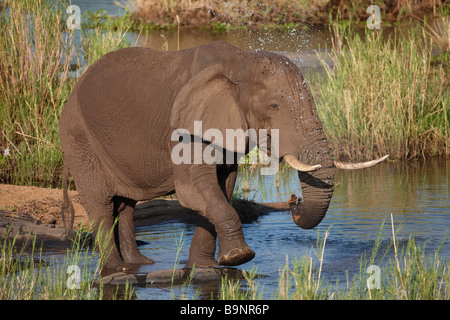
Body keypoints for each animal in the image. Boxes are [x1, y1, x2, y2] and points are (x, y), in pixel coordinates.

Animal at [59, 40, 386, 272]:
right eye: (274, 106)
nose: (294, 201)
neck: (241, 62)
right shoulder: (186, 127)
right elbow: (195, 191)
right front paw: (240, 258)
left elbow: (222, 187)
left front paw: (204, 267)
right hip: (78, 138)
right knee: (101, 204)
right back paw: (117, 270)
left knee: (125, 205)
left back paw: (140, 265)